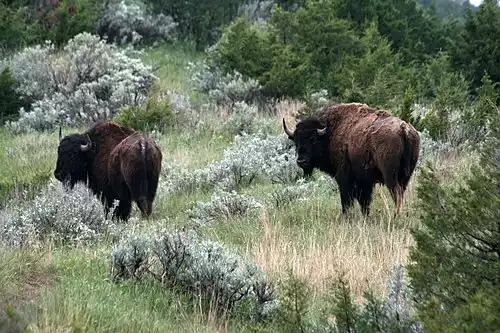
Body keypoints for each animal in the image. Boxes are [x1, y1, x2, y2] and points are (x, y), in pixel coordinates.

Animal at [284, 101, 420, 215]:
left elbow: (346, 200)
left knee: (396, 192)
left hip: (389, 175)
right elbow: (364, 201)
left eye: (313, 139)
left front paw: (346, 216)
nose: (301, 161)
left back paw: (396, 215)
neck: (330, 133)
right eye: (295, 141)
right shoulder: (365, 181)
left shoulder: (343, 178)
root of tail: (404, 129)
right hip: (405, 175)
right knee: (401, 191)